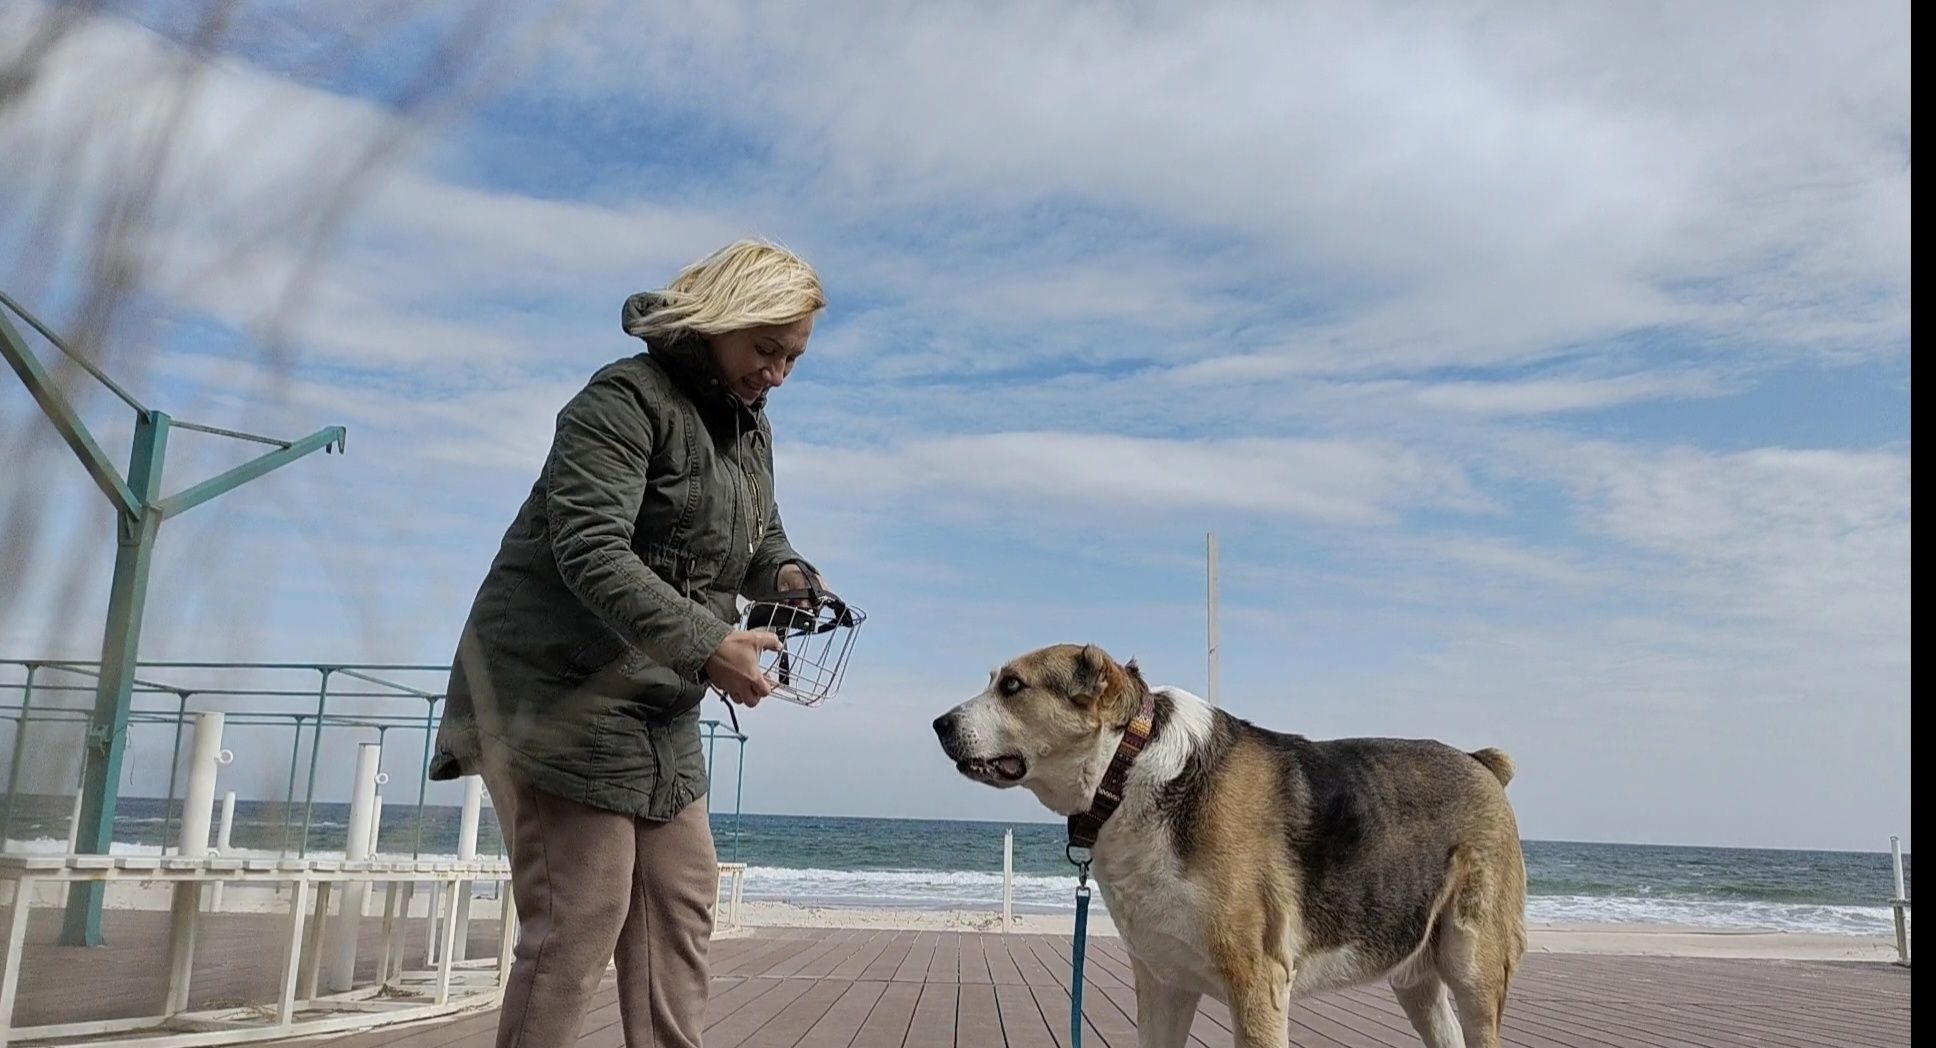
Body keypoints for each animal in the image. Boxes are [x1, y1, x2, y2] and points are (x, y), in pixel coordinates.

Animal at [933, 643, 1525, 1046]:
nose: (938, 724)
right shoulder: (1163, 986)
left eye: (1012, 686)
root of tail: (1481, 763)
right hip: (1417, 977)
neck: (1129, 767)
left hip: (1473, 966)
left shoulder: (1258, 986)